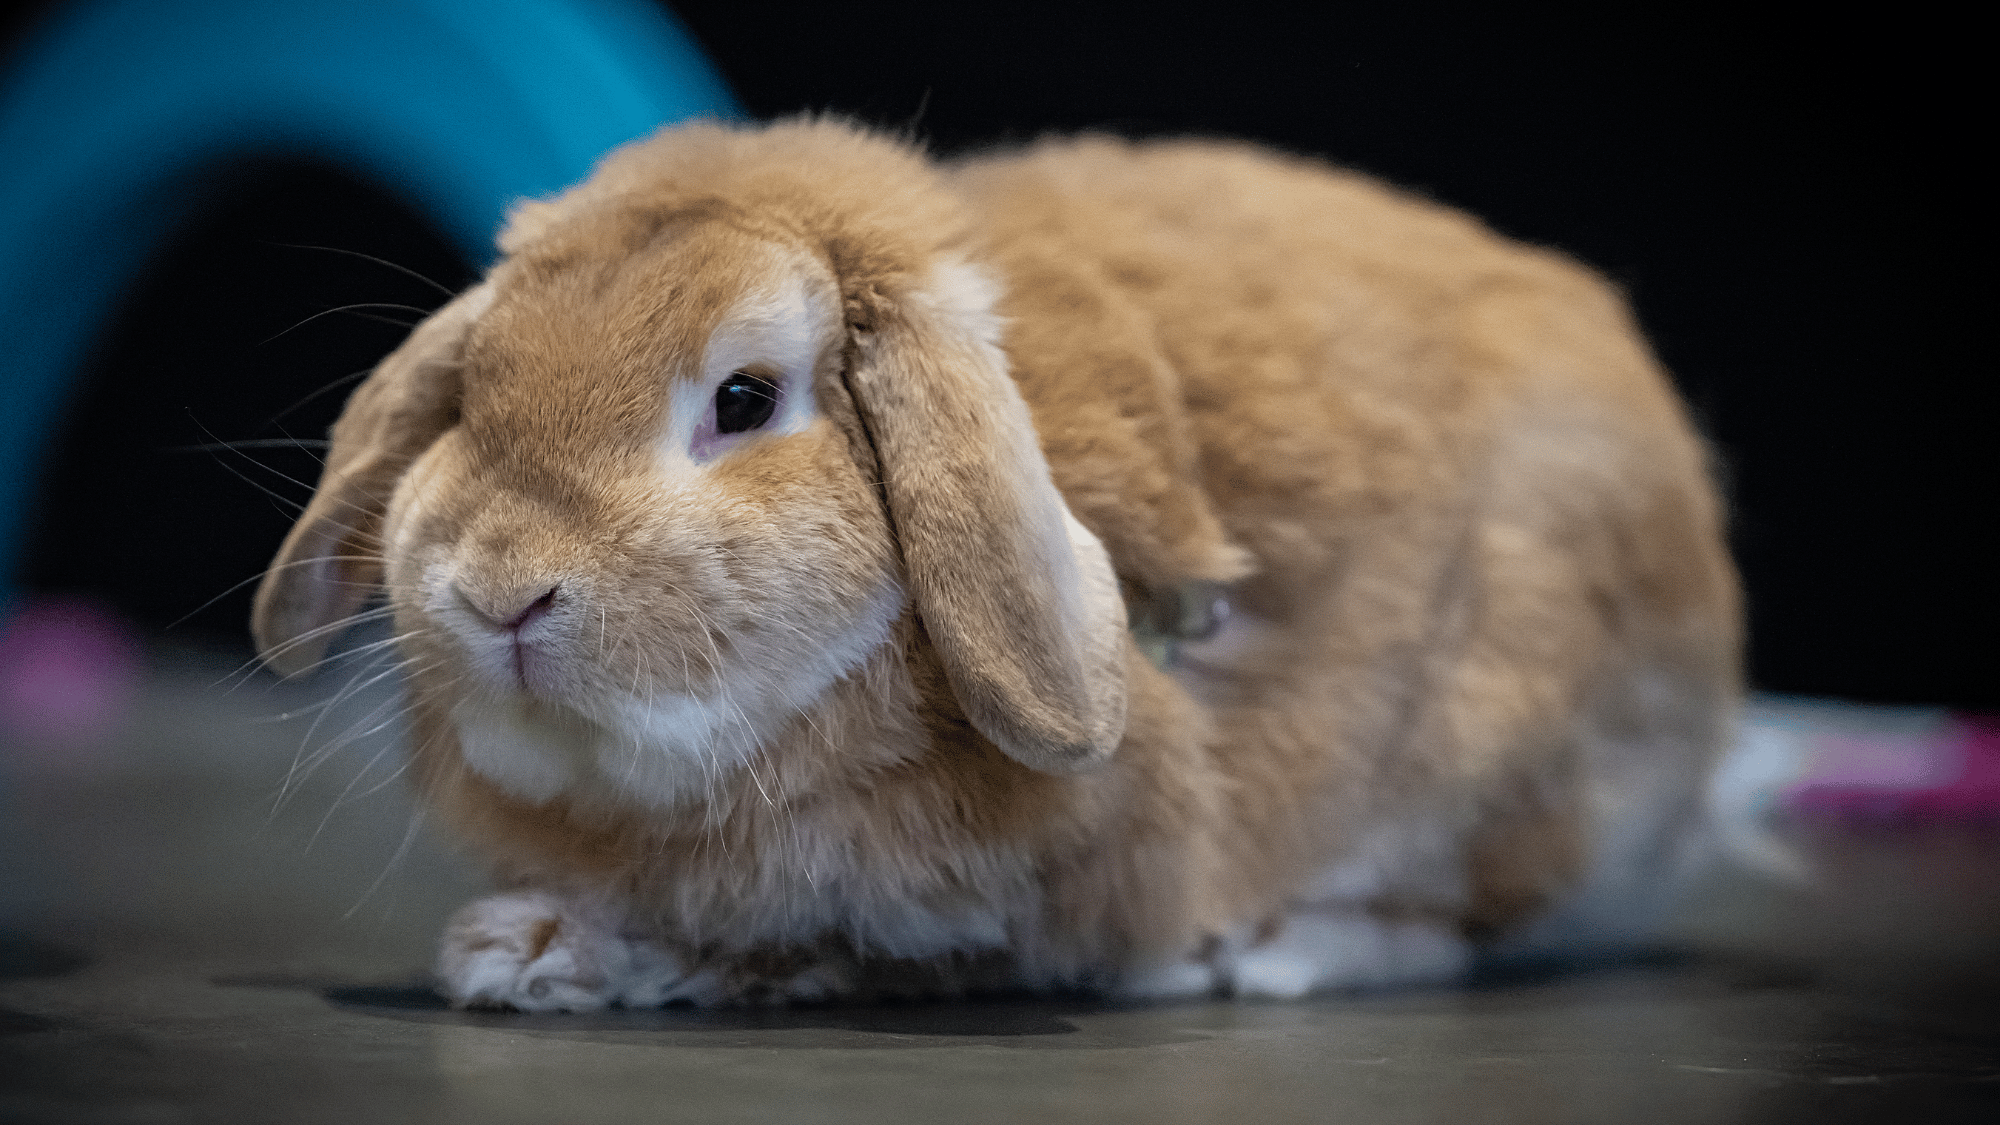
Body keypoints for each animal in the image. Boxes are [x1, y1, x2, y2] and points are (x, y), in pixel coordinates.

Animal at [251, 117, 1740, 1010]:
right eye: (472, 394)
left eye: (743, 398)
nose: (500, 590)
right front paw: (526, 949)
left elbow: (797, 951)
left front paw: (526, 953)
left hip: (1496, 754)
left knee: (1464, 923)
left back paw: (1270, 955)